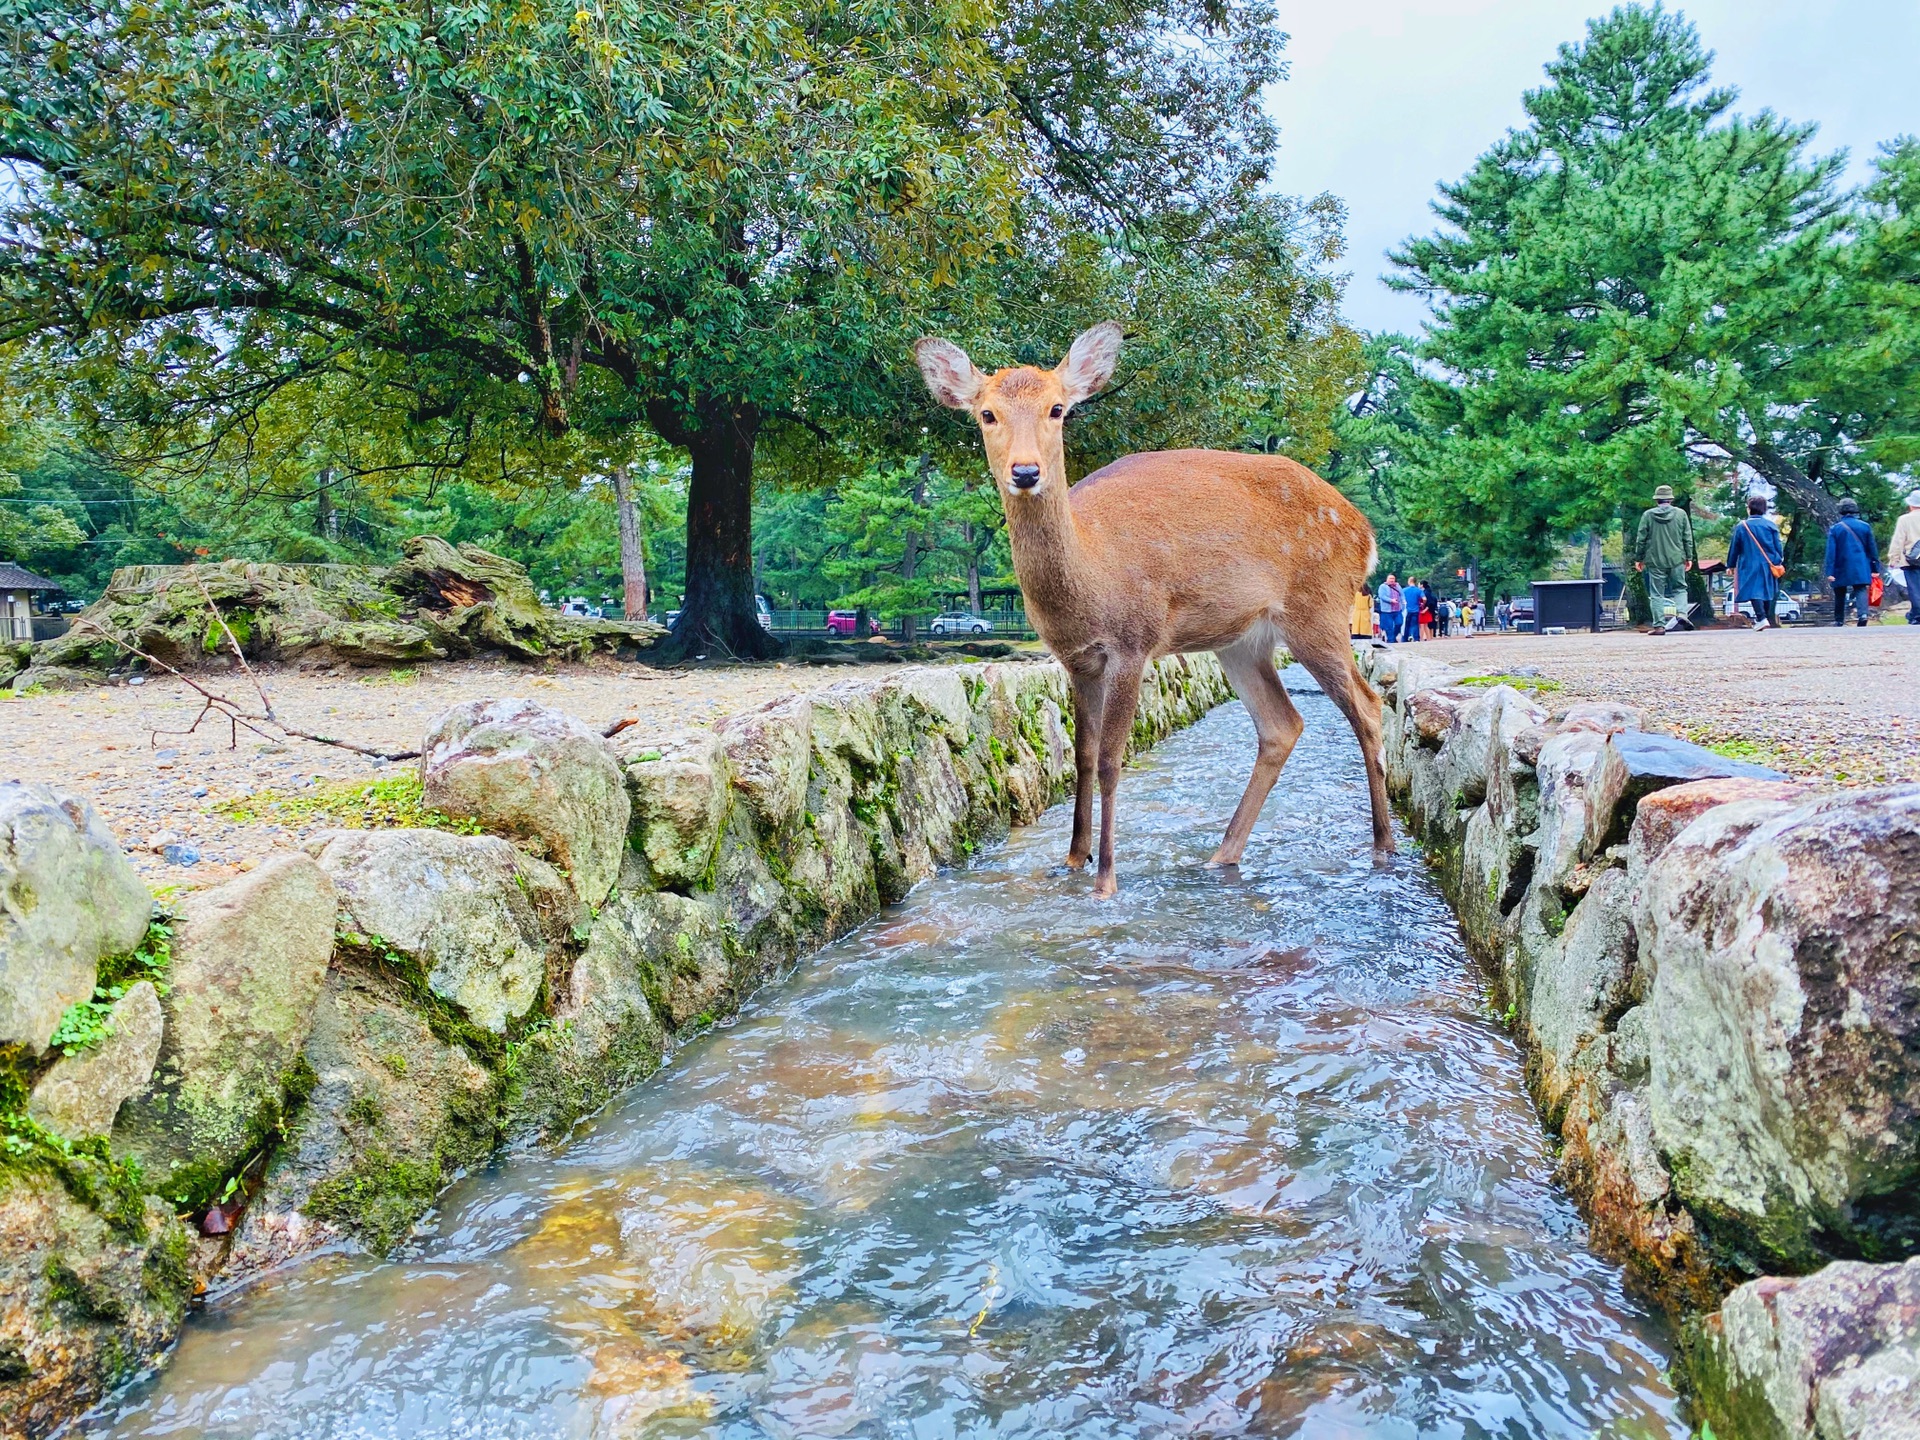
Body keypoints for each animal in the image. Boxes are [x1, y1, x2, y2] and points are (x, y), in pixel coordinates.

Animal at [913, 320, 1397, 898]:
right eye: (986, 413)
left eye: (1058, 408)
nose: (1026, 471)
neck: (1090, 577)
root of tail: (1365, 534)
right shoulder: (1076, 659)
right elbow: (1079, 756)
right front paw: (1071, 860)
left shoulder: (1133, 641)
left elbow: (1109, 760)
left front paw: (1105, 879)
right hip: (1243, 641)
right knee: (1282, 724)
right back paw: (1222, 854)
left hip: (1319, 609)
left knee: (1368, 705)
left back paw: (1383, 848)